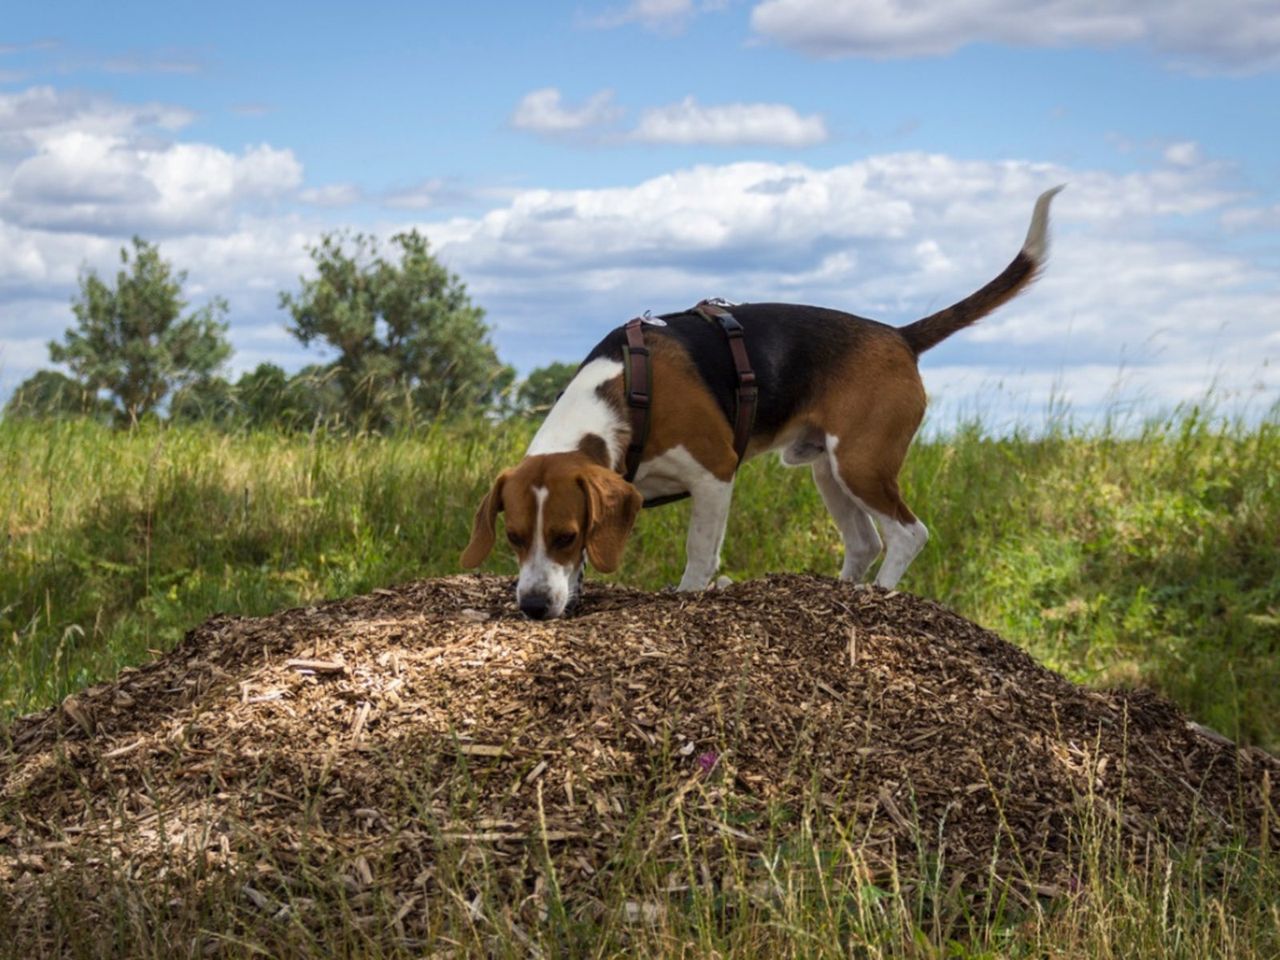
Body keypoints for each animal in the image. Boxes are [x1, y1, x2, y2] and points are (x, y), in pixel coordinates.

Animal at [460, 188, 1059, 624]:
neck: (626, 395)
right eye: (513, 537)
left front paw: (687, 595)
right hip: (827, 470)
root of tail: (899, 335)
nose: (534, 607)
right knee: (863, 541)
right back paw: (836, 592)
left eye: (564, 536)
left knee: (908, 535)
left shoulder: (714, 474)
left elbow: (700, 554)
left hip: (861, 464)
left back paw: (879, 596)